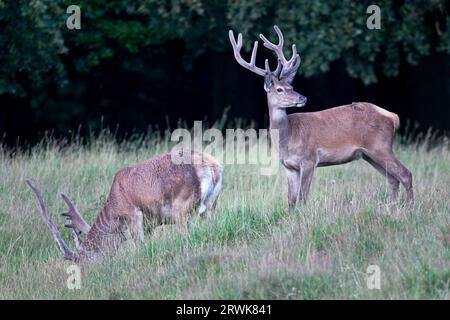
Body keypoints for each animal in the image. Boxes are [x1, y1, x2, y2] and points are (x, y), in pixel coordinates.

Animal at [25, 151, 222, 262]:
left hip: (182, 208)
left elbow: (140, 246)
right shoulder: (149, 224)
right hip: (211, 205)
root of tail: (213, 167)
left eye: (82, 259)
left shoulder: (134, 215)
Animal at [230, 25, 414, 210]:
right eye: (280, 89)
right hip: (369, 154)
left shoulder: (309, 159)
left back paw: (410, 208)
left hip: (380, 146)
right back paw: (392, 207)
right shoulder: (289, 166)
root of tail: (393, 117)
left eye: (291, 86)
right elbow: (291, 200)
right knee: (393, 179)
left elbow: (302, 197)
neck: (288, 137)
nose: (303, 98)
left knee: (405, 174)